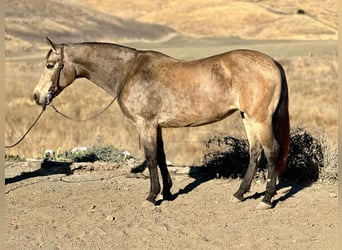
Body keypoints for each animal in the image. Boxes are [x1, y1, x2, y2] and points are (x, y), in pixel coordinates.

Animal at [33, 37, 288, 209]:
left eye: (49, 65)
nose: (37, 97)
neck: (129, 72)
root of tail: (273, 63)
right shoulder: (156, 127)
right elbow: (162, 157)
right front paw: (167, 192)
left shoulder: (145, 125)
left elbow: (151, 157)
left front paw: (152, 196)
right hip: (248, 118)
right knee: (255, 152)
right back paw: (239, 194)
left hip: (259, 119)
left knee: (271, 151)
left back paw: (266, 199)